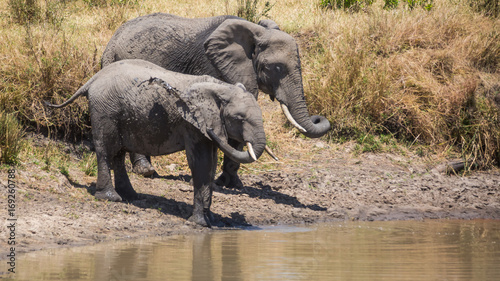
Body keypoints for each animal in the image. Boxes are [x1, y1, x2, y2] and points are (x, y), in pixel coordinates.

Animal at [45, 58, 268, 225]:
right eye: (239, 119)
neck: (221, 88)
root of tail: (92, 79)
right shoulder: (191, 124)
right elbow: (201, 163)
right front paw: (200, 223)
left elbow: (210, 164)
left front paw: (211, 219)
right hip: (104, 110)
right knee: (106, 150)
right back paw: (111, 198)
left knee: (119, 153)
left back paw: (131, 196)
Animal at [100, 13, 332, 187]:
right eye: (275, 67)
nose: (318, 117)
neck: (254, 32)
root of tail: (111, 40)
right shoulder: (212, 65)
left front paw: (231, 183)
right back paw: (145, 171)